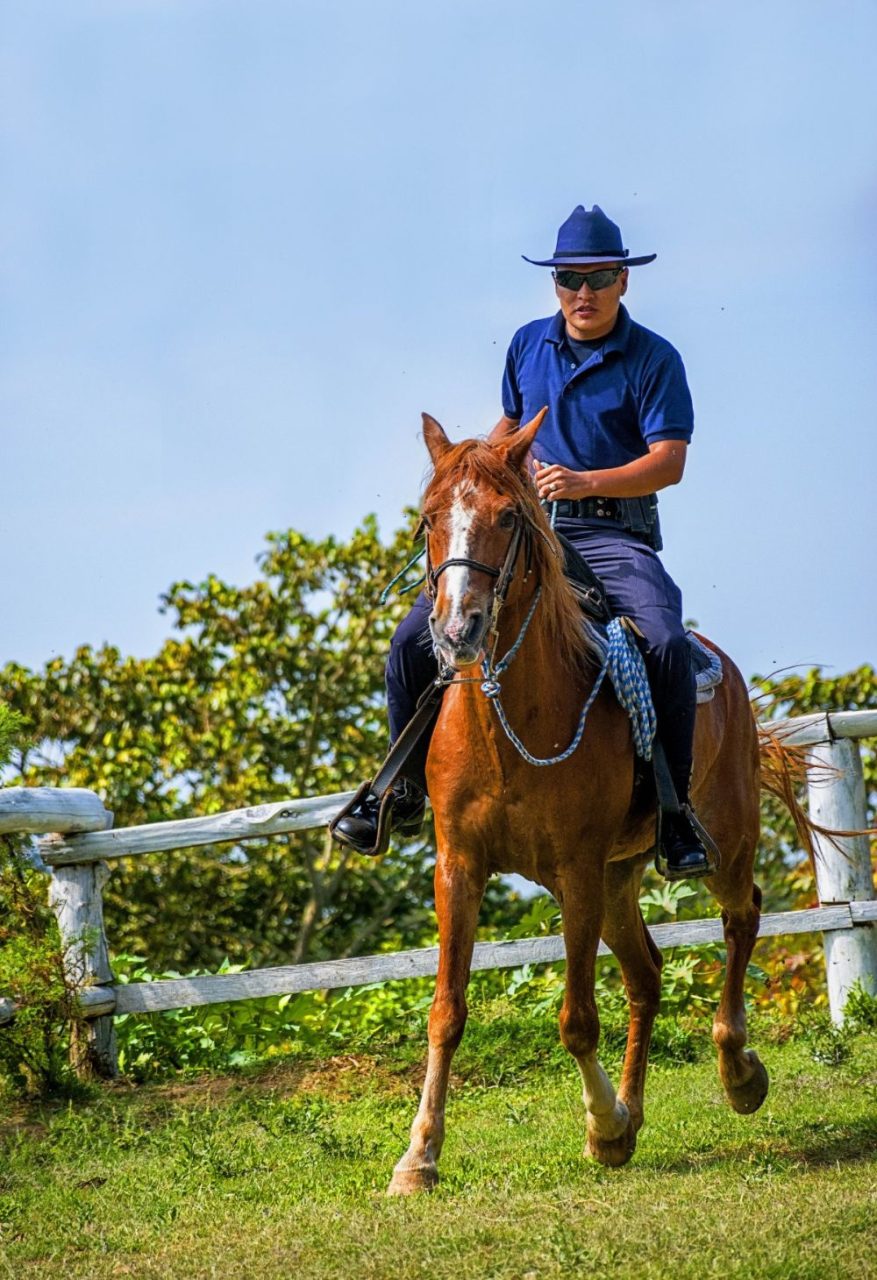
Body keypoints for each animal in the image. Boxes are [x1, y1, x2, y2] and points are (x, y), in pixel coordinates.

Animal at [386, 412, 778, 1198]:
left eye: (508, 517)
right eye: (429, 519)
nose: (457, 629)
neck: (510, 718)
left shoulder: (573, 871)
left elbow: (575, 1019)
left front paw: (599, 1126)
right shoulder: (460, 867)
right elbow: (445, 1013)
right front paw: (419, 1156)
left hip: (719, 845)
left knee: (741, 915)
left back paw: (737, 1071)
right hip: (618, 879)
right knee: (647, 976)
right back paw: (634, 1108)